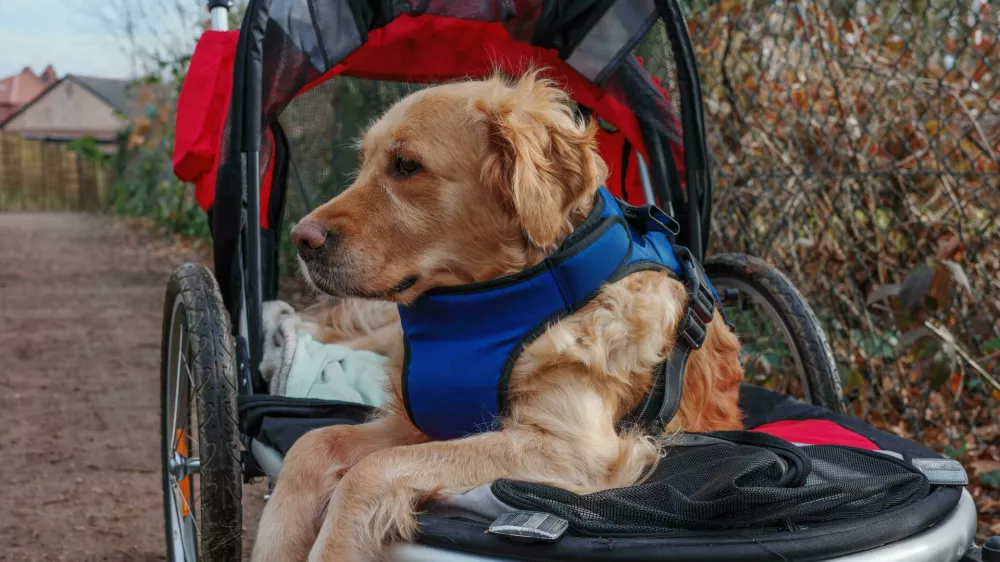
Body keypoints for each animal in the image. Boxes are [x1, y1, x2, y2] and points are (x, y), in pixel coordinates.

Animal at [252, 70, 744, 560]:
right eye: (364, 162)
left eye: (407, 165)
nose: (301, 239)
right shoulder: (415, 424)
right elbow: (311, 444)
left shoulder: (574, 448)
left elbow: (368, 471)